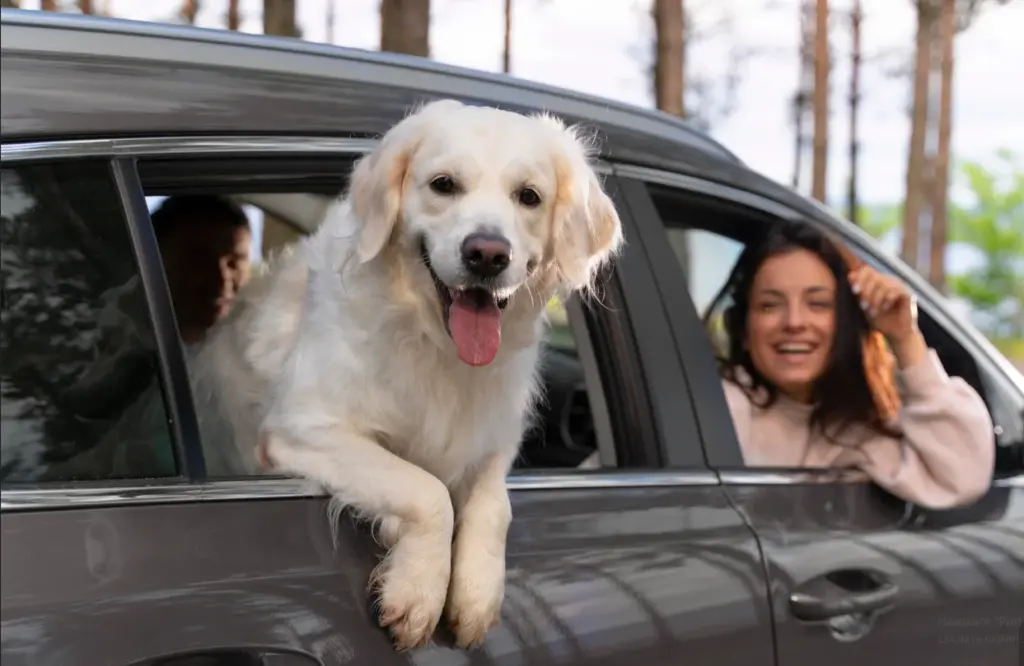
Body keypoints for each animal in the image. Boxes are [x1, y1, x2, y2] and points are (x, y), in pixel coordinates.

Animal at [189, 98, 626, 647]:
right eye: (444, 184)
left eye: (529, 196)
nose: (487, 254)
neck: (435, 346)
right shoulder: (301, 429)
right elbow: (425, 488)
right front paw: (418, 591)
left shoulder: (493, 443)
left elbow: (494, 505)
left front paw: (477, 594)